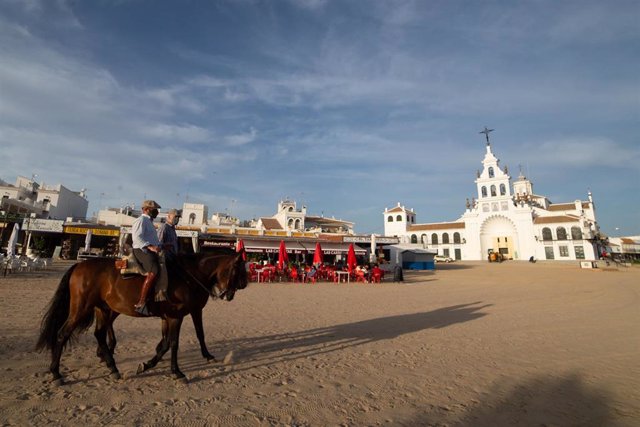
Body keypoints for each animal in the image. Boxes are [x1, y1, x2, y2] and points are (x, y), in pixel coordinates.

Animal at [35, 249, 248, 386]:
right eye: (238, 269)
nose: (242, 285)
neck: (189, 275)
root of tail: (79, 265)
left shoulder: (170, 316)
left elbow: (169, 342)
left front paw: (147, 364)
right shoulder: (176, 316)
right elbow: (174, 343)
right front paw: (177, 372)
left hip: (103, 309)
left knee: (99, 334)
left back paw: (112, 367)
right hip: (81, 309)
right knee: (63, 334)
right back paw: (56, 374)